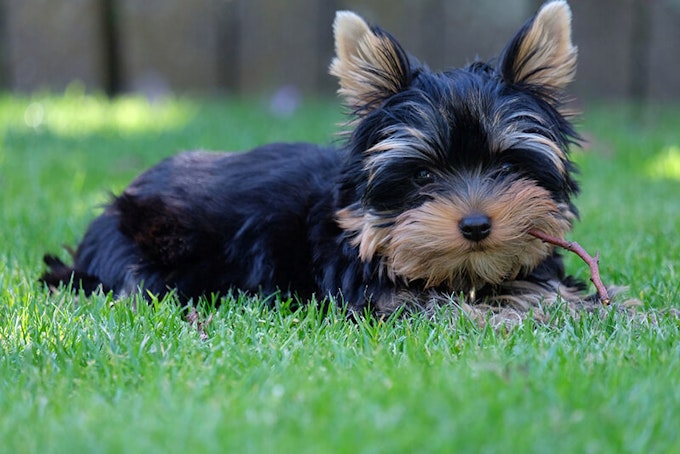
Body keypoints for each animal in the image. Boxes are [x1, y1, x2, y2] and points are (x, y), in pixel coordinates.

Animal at [43, 0, 604, 320]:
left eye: (507, 168)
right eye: (422, 174)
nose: (475, 226)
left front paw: (586, 302)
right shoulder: (374, 291)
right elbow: (446, 308)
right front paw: (523, 313)